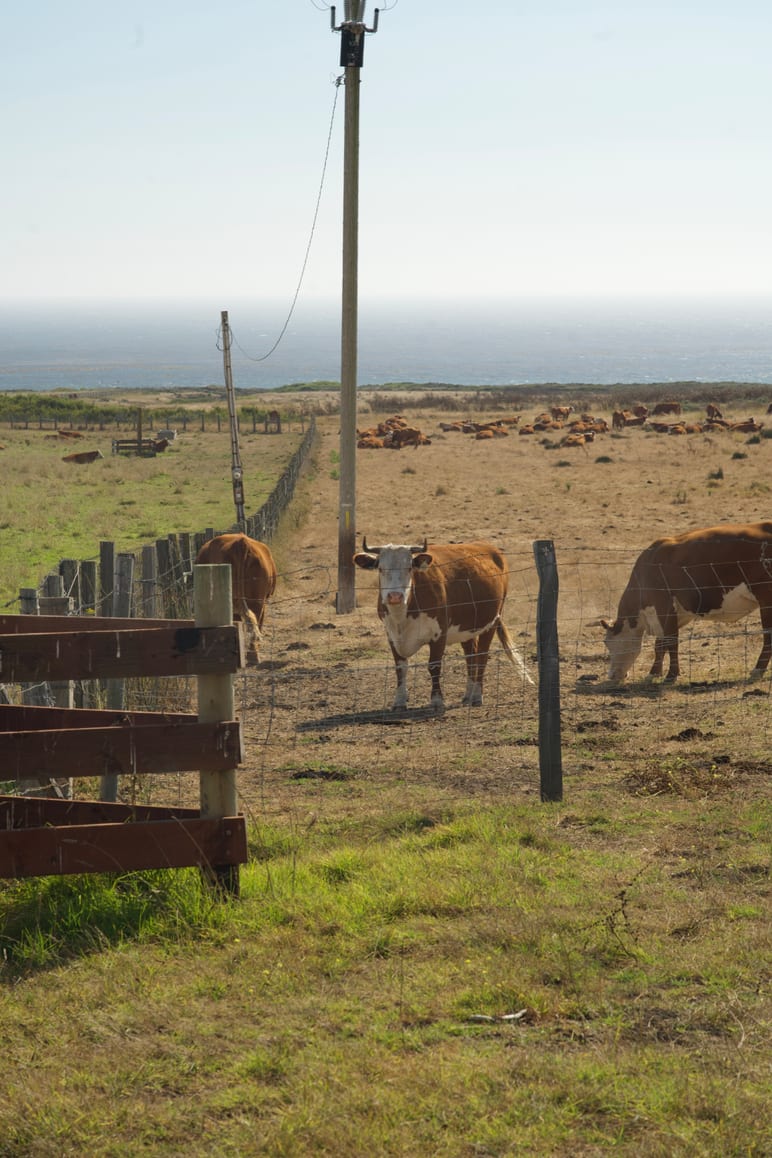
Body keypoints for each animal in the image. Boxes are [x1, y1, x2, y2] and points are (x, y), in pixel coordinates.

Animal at [353, 539, 533, 711]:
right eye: (380, 569)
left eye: (409, 568)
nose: (395, 596)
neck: (403, 616)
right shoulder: (392, 635)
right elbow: (400, 668)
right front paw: (399, 702)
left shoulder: (439, 634)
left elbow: (434, 666)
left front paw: (437, 701)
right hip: (467, 628)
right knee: (471, 656)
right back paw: (468, 695)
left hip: (491, 622)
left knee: (482, 656)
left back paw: (476, 696)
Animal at [600, 522, 772, 684]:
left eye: (608, 643)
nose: (611, 675)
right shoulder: (674, 614)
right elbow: (660, 645)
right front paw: (653, 673)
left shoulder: (664, 606)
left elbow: (671, 642)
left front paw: (671, 675)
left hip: (766, 600)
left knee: (768, 636)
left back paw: (758, 670)